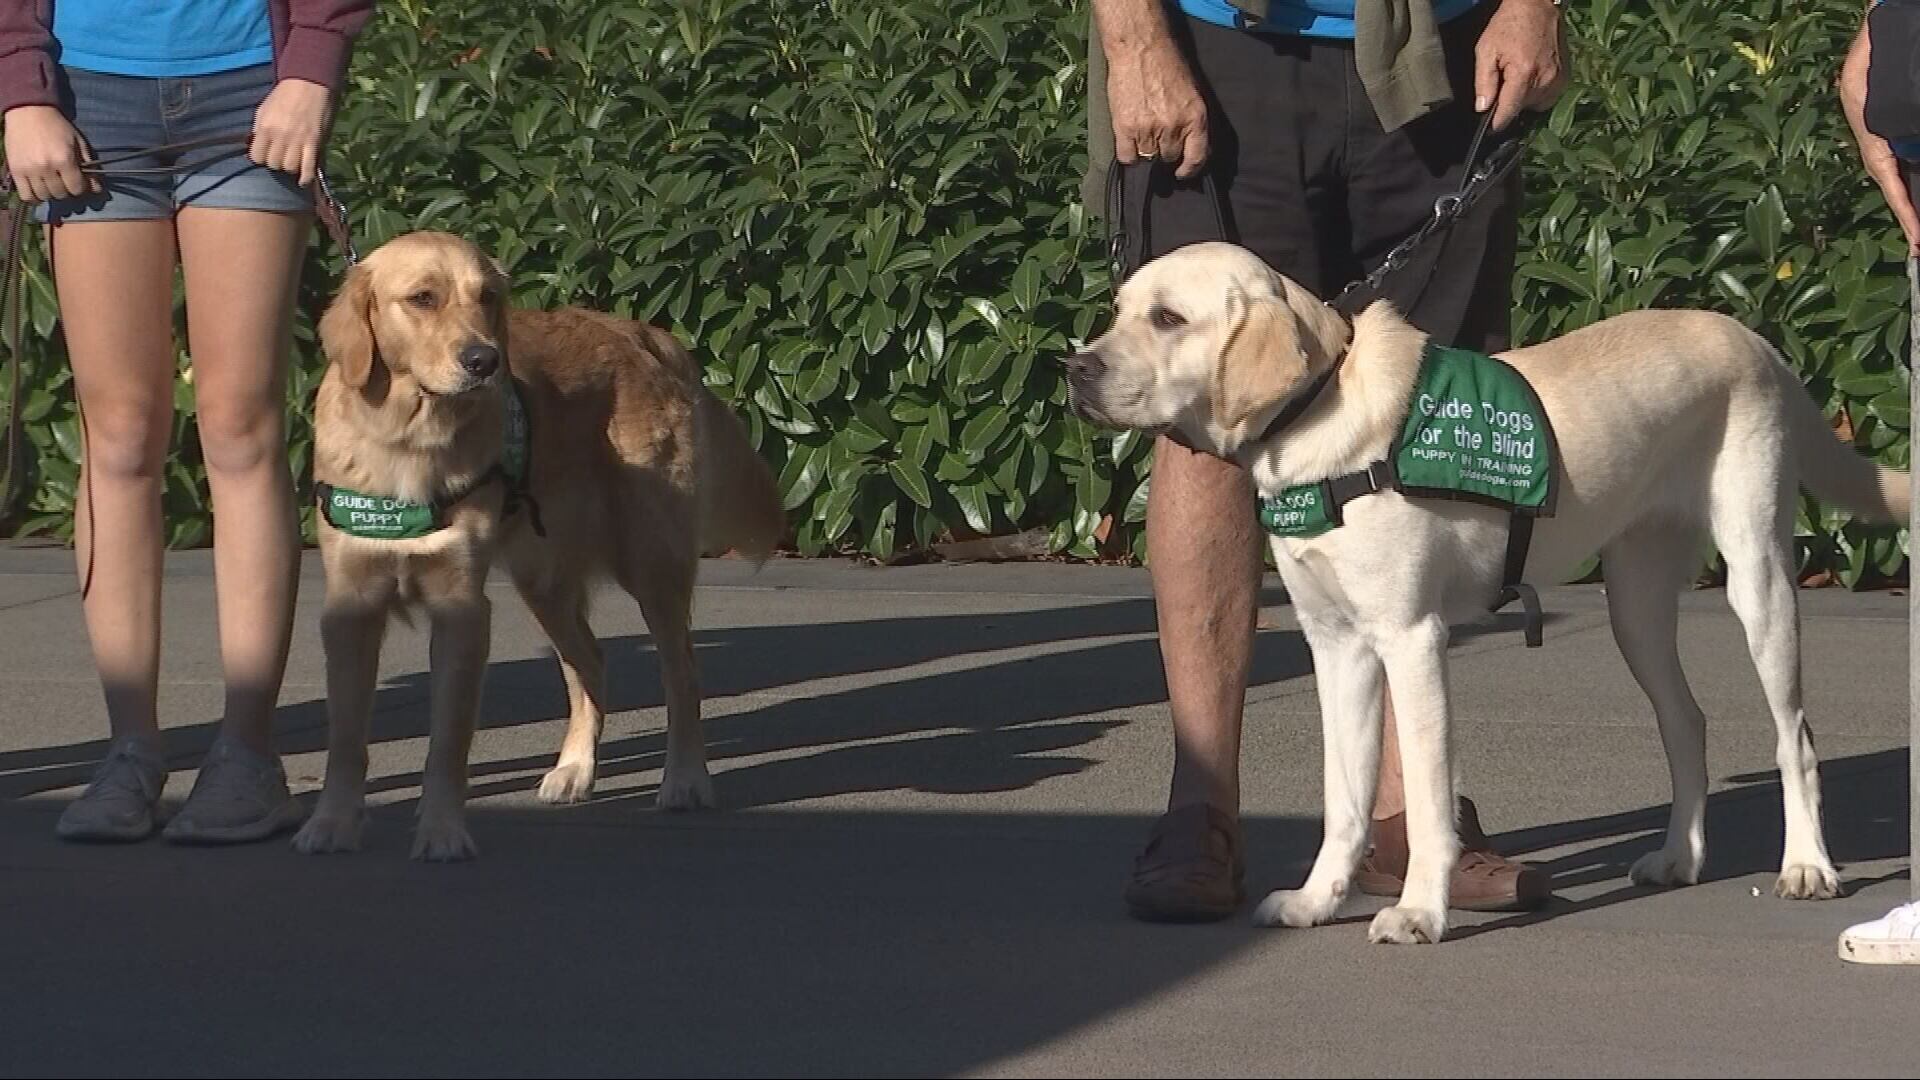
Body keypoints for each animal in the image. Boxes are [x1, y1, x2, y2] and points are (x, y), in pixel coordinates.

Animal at [289, 231, 779, 853]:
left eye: (488, 297)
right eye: (422, 298)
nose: (484, 361)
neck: (407, 439)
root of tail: (648, 335)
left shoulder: (462, 608)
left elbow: (448, 742)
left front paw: (442, 831)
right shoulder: (350, 608)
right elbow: (346, 737)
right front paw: (331, 822)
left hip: (652, 564)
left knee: (682, 673)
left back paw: (686, 778)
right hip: (543, 581)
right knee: (590, 662)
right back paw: (574, 769)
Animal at [1075, 239, 1912, 937]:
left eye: (1168, 319)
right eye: (1118, 310)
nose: (1073, 368)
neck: (1314, 418)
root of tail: (1755, 340)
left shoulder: (1412, 640)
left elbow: (1427, 801)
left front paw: (1420, 911)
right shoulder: (1337, 648)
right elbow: (1343, 800)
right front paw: (1318, 900)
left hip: (1759, 579)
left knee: (1795, 737)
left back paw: (1807, 865)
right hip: (1635, 607)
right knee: (1687, 724)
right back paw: (1682, 856)